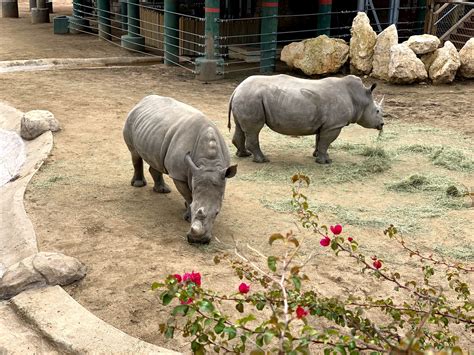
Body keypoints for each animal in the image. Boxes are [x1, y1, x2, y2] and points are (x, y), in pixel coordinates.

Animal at [123, 94, 237, 245]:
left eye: (217, 213)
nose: (198, 241)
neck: (209, 164)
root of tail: (143, 100)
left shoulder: (219, 173)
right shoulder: (178, 175)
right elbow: (189, 196)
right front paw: (188, 215)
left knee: (155, 158)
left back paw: (162, 190)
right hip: (131, 120)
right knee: (135, 153)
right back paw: (138, 184)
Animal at [227, 76, 386, 165]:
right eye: (377, 111)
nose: (382, 124)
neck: (359, 98)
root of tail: (236, 89)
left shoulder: (326, 125)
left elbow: (320, 140)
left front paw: (318, 155)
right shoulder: (334, 125)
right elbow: (326, 142)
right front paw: (325, 162)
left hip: (246, 97)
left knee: (240, 127)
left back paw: (244, 155)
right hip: (251, 97)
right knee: (254, 129)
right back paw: (262, 160)